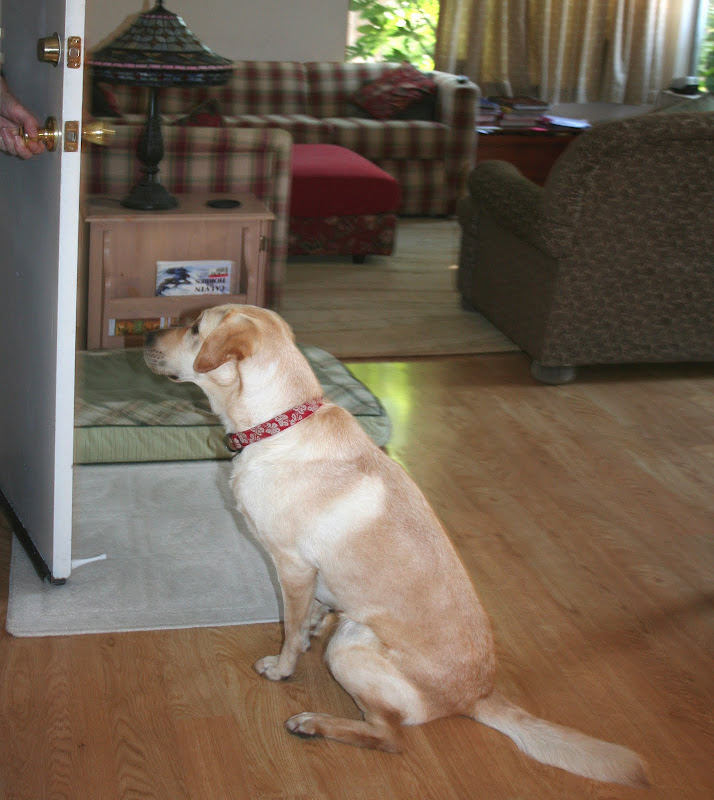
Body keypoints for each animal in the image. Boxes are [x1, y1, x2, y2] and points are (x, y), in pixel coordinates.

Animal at [142, 306, 648, 788]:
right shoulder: (313, 580)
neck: (275, 425)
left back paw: (313, 723)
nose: (146, 335)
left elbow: (288, 629)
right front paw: (307, 633)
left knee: (388, 736)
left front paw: (282, 667)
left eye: (194, 328)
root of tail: (479, 695)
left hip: (350, 645)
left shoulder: (292, 567)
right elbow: (305, 620)